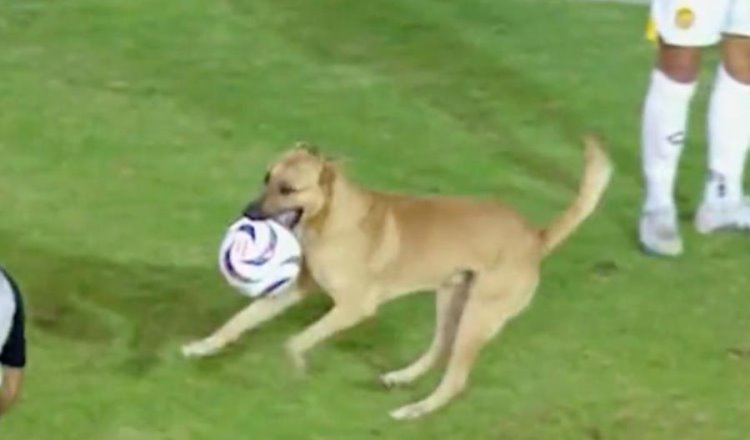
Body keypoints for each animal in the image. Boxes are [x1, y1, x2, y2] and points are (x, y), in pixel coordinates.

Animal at [182, 137, 612, 420]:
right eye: (266, 177)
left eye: (287, 188)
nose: (247, 213)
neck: (334, 220)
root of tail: (536, 237)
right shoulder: (294, 290)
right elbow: (238, 321)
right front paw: (202, 347)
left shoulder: (354, 307)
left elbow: (294, 341)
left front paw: (296, 368)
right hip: (452, 299)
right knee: (439, 349)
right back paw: (401, 378)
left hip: (478, 315)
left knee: (455, 379)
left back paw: (414, 410)